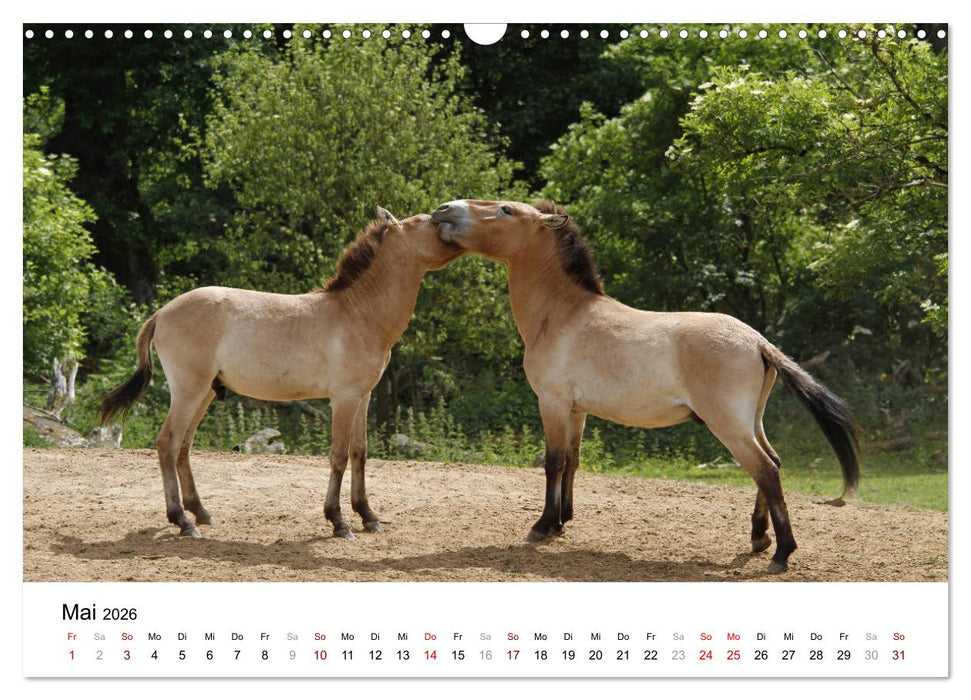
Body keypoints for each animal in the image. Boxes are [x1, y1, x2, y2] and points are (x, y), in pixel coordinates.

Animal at [99, 207, 464, 540]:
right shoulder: (344, 399)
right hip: (189, 391)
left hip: (203, 394)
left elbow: (359, 453)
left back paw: (200, 513)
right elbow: (339, 456)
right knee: (168, 444)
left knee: (183, 448)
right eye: (426, 221)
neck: (356, 312)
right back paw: (182, 521)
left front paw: (368, 516)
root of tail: (161, 313)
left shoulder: (363, 396)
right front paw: (339, 521)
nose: (452, 224)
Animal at [432, 199, 859, 573]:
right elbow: (572, 460)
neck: (561, 315)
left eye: (505, 209)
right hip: (751, 421)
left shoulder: (551, 403)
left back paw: (781, 554)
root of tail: (758, 342)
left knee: (766, 470)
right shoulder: (576, 410)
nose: (443, 210)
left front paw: (542, 526)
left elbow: (553, 462)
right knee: (772, 463)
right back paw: (759, 539)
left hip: (729, 426)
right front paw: (562, 521)